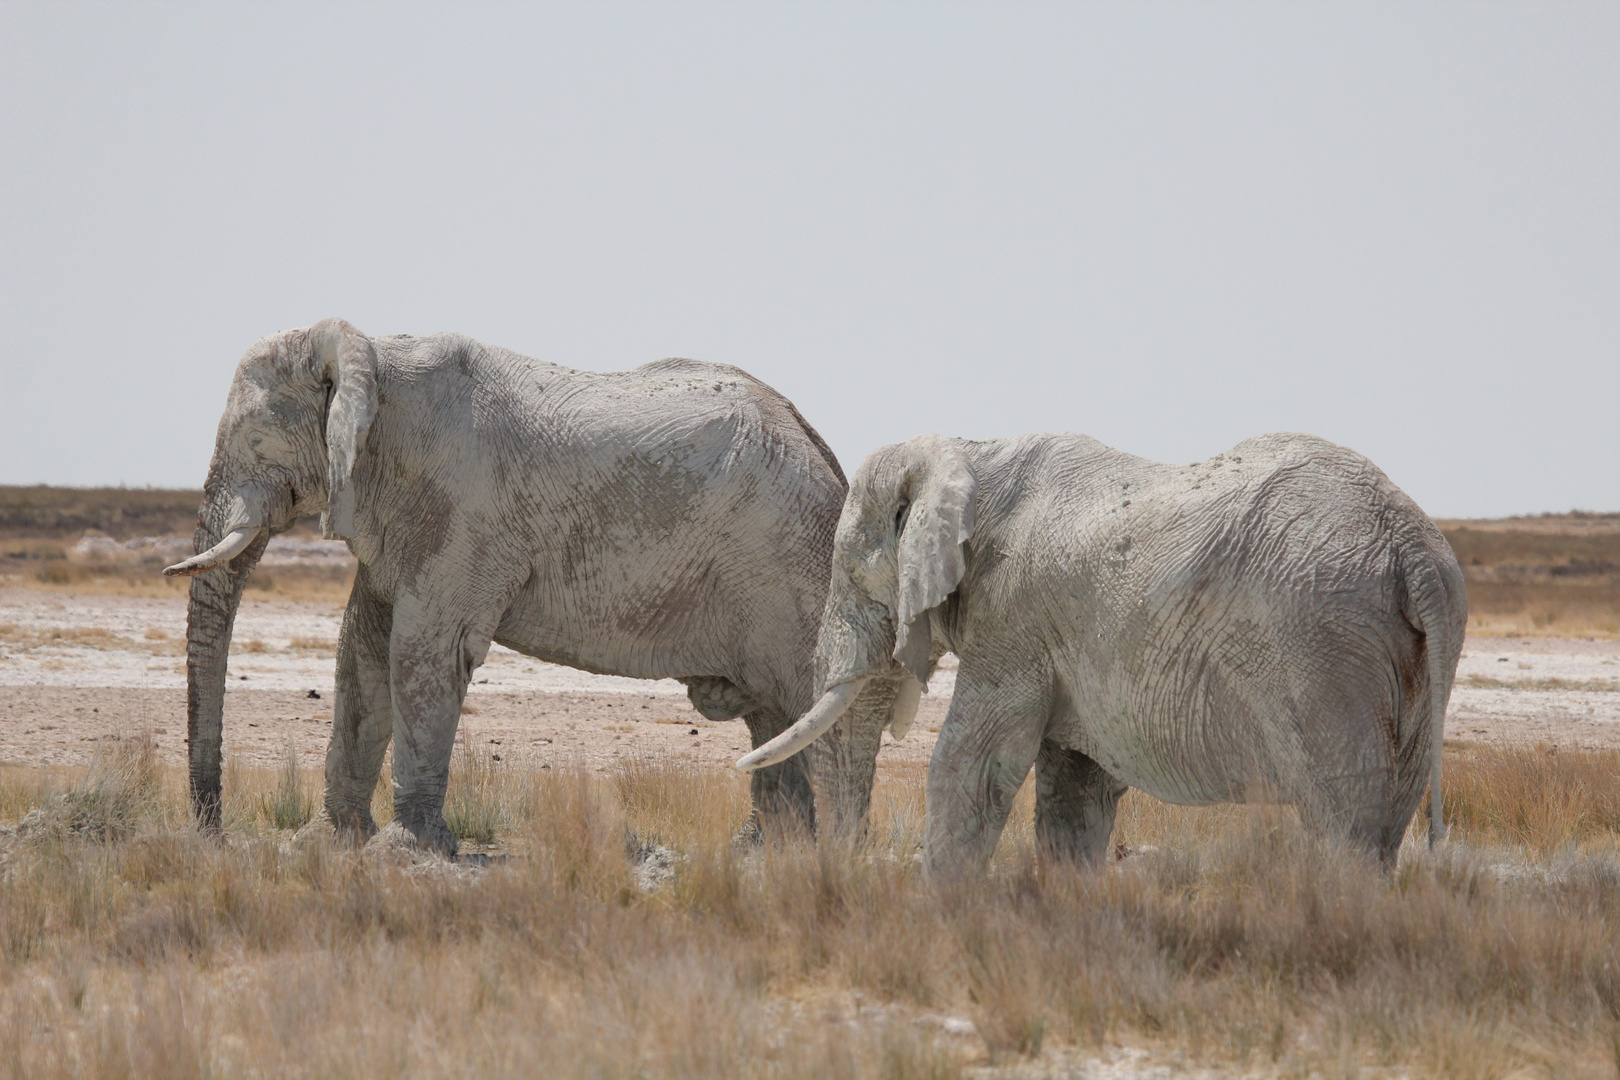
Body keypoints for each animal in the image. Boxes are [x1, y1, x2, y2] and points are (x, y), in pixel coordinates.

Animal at [164, 317, 900, 854]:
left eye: (252, 437)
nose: (212, 835)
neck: (369, 352)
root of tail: (823, 452)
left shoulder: (463, 507)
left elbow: (424, 650)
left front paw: (407, 854)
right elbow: (362, 652)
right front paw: (327, 846)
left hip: (791, 566)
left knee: (816, 705)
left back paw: (830, 859)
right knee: (770, 718)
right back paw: (767, 854)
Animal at [741, 430, 1470, 880]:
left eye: (849, 572)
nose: (840, 878)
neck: (969, 451)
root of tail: (1411, 544)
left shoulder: (1013, 617)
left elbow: (975, 763)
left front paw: (940, 912)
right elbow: (1075, 785)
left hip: (1324, 651)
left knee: (1344, 819)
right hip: (1402, 658)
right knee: (1388, 818)